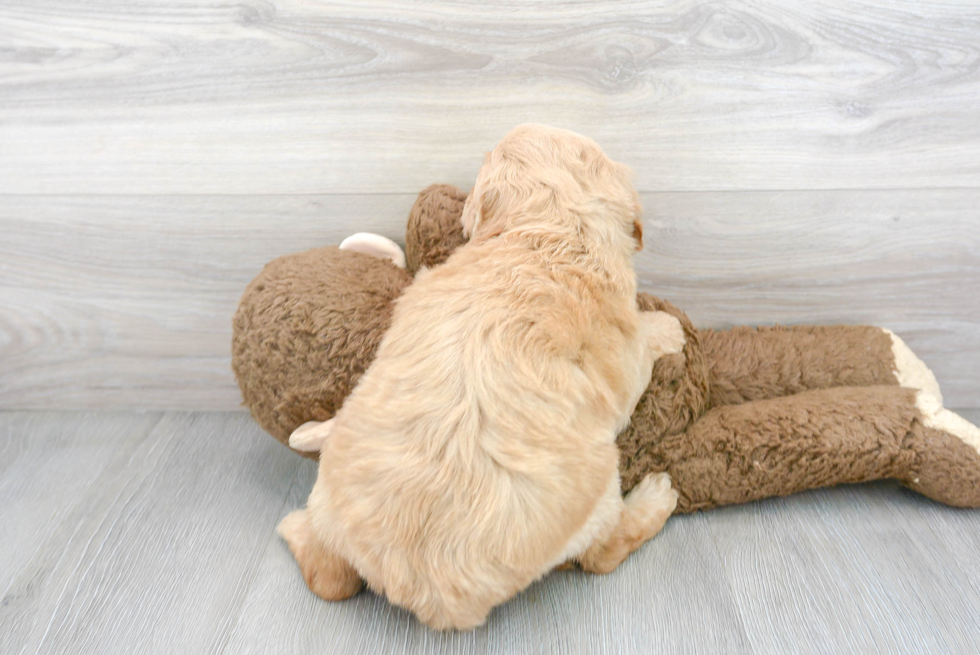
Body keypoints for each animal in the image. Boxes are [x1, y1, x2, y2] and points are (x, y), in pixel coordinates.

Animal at [280, 123, 684, 632]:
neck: (544, 236)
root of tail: (426, 594)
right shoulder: (623, 360)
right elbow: (643, 346)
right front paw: (667, 329)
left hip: (334, 484)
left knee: (325, 570)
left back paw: (305, 467)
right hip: (597, 492)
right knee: (602, 554)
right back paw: (656, 498)